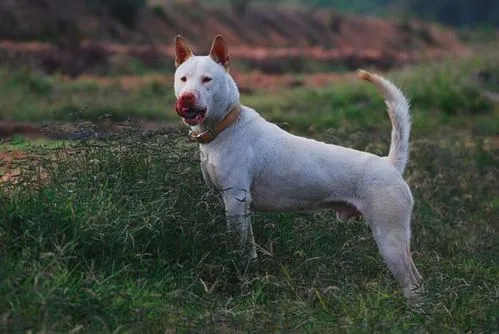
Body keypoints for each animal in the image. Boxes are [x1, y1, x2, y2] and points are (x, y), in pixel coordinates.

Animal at [174, 35, 424, 298]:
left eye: (207, 79)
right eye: (183, 79)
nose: (186, 98)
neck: (225, 126)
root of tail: (391, 165)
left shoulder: (235, 200)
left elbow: (240, 245)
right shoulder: (237, 204)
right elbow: (249, 246)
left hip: (390, 238)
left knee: (413, 282)